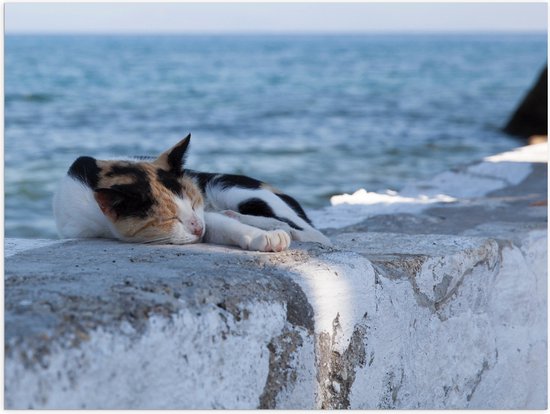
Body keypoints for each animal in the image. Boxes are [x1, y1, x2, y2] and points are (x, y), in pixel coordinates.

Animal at [54, 135, 332, 252]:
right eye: (169, 218)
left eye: (195, 202)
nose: (198, 227)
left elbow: (217, 222)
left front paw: (265, 236)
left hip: (228, 186)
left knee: (311, 232)